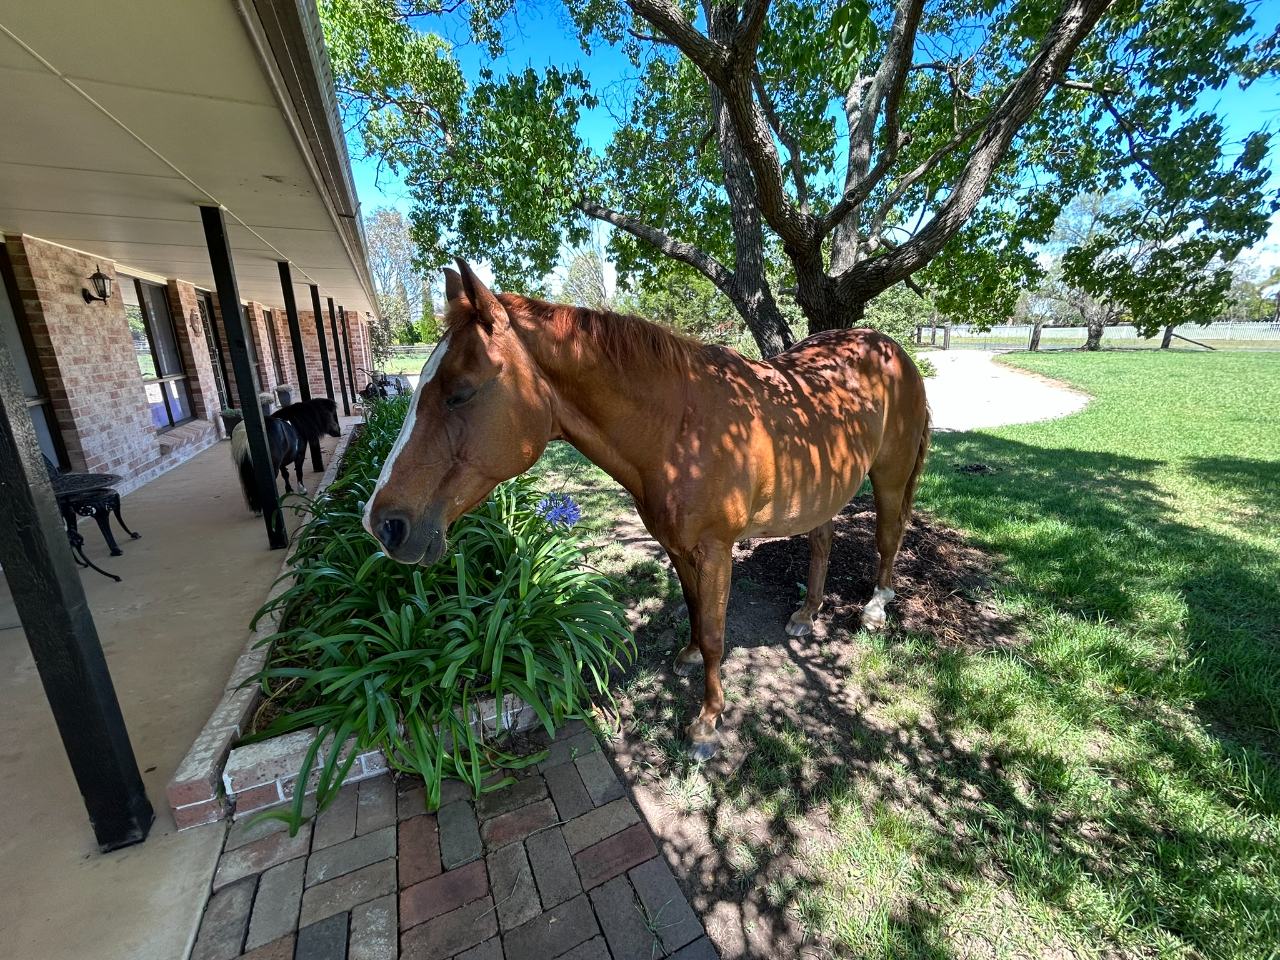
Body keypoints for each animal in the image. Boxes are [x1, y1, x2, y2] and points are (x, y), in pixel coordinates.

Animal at [364, 261, 930, 761]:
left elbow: (715, 631)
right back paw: (806, 614)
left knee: (888, 537)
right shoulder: (677, 545)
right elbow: (696, 610)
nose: (382, 524)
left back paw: (875, 608)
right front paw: (687, 658)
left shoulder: (716, 548)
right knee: (822, 541)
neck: (679, 428)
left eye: (460, 393)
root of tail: (892, 350)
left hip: (890, 475)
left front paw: (707, 722)